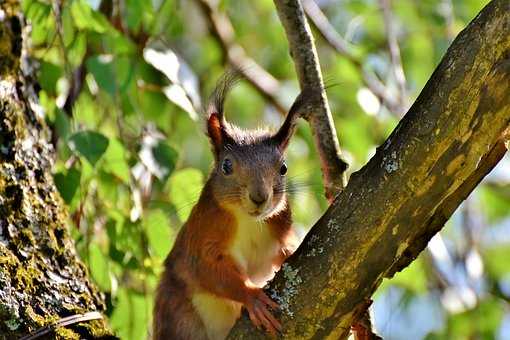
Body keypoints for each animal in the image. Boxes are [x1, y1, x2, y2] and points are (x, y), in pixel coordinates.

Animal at [153, 70, 306, 338]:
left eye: (284, 168)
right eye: (226, 166)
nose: (260, 197)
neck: (249, 221)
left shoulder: (280, 225)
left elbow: (280, 253)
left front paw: (290, 252)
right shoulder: (203, 236)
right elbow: (209, 270)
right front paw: (252, 296)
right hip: (179, 316)